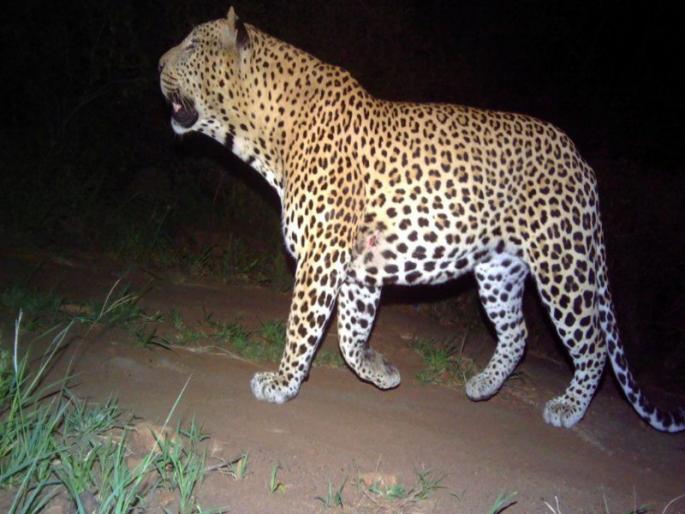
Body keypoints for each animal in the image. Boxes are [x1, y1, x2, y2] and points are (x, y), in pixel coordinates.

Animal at [159, 7, 684, 431]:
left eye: (192, 44)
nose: (159, 64)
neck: (269, 136)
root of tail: (582, 161)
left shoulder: (320, 258)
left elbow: (302, 325)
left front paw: (282, 382)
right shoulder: (356, 269)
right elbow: (350, 336)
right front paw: (380, 369)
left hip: (563, 265)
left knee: (592, 345)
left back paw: (567, 409)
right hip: (498, 270)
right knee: (517, 334)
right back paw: (482, 386)